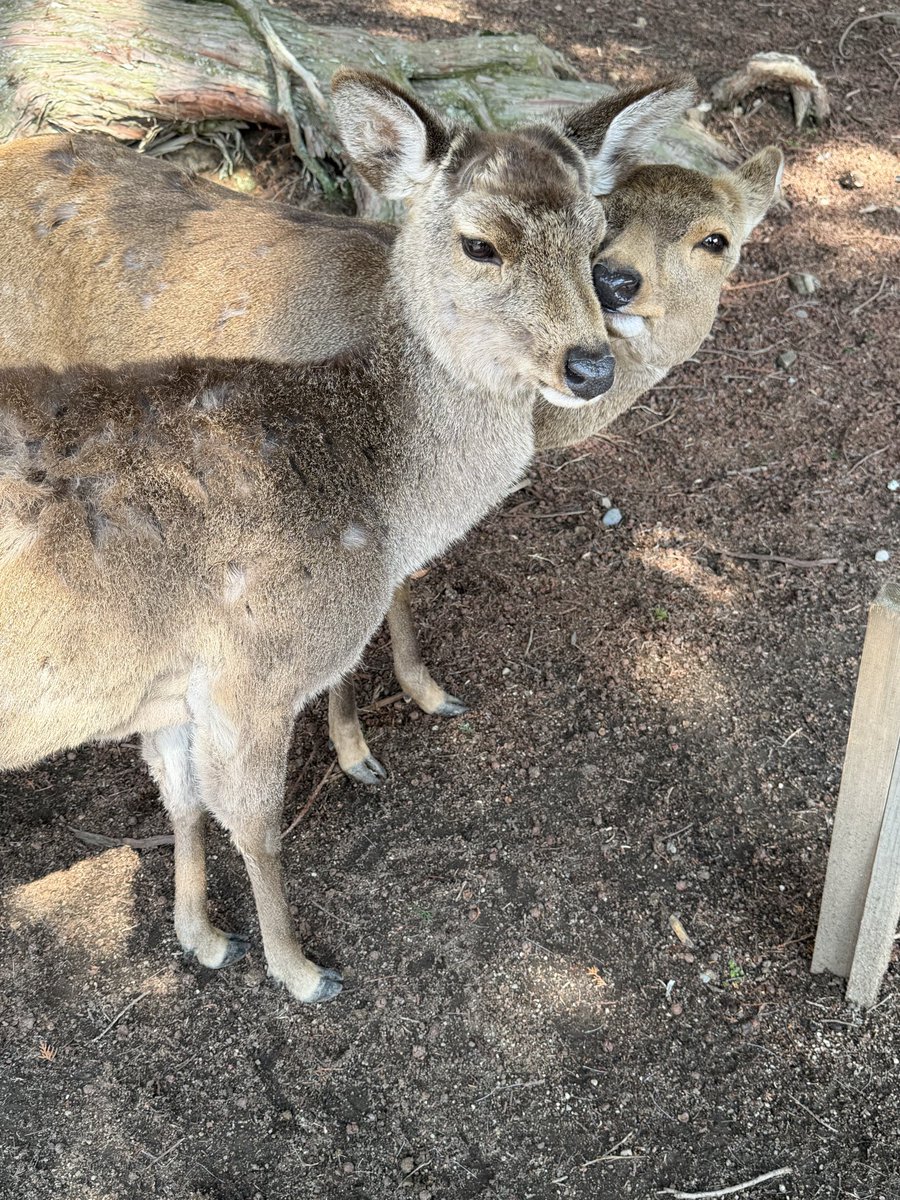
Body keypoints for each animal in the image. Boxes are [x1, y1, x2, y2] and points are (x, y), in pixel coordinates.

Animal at [0, 69, 701, 1003]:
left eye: (597, 238)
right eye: (480, 244)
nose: (590, 366)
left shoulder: (172, 684)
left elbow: (179, 797)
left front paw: (203, 937)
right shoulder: (252, 673)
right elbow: (256, 826)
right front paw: (301, 970)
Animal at [0, 102, 783, 786]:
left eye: (716, 239)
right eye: (611, 225)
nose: (616, 286)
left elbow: (402, 579)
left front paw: (429, 692)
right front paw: (357, 753)